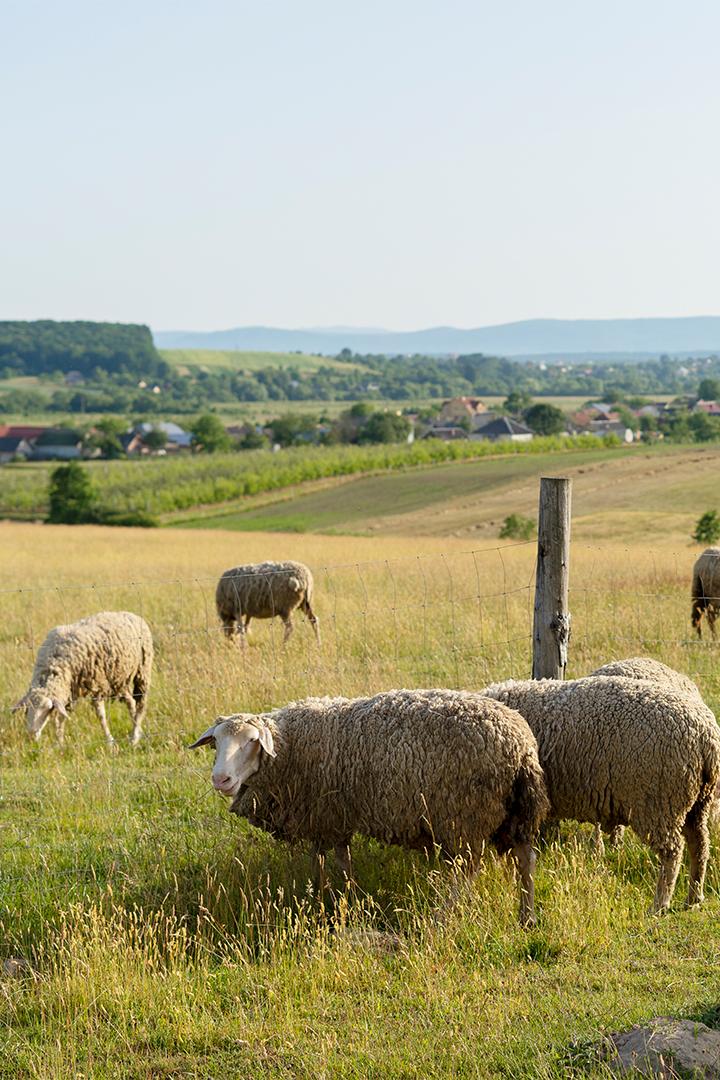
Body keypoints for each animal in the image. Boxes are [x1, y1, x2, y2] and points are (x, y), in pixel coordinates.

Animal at [11, 613, 153, 747]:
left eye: (47, 709)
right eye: (26, 710)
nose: (31, 734)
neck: (53, 665)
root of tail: (131, 614)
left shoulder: (97, 684)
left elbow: (101, 716)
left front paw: (110, 742)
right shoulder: (69, 690)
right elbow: (60, 718)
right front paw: (59, 744)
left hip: (142, 671)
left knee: (141, 704)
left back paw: (134, 738)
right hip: (119, 678)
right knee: (131, 702)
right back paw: (136, 731)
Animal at [188, 686, 548, 924]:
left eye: (251, 741)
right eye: (216, 741)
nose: (221, 779)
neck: (289, 747)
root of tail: (521, 746)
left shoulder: (327, 816)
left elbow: (331, 861)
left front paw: (332, 896)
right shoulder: (332, 817)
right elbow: (333, 860)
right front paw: (339, 894)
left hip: (464, 816)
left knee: (467, 870)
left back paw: (440, 918)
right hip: (515, 812)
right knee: (525, 859)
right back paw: (526, 916)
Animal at [479, 673, 720, 911]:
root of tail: (706, 735)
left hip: (659, 803)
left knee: (673, 852)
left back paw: (660, 904)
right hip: (695, 803)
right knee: (700, 844)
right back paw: (693, 897)